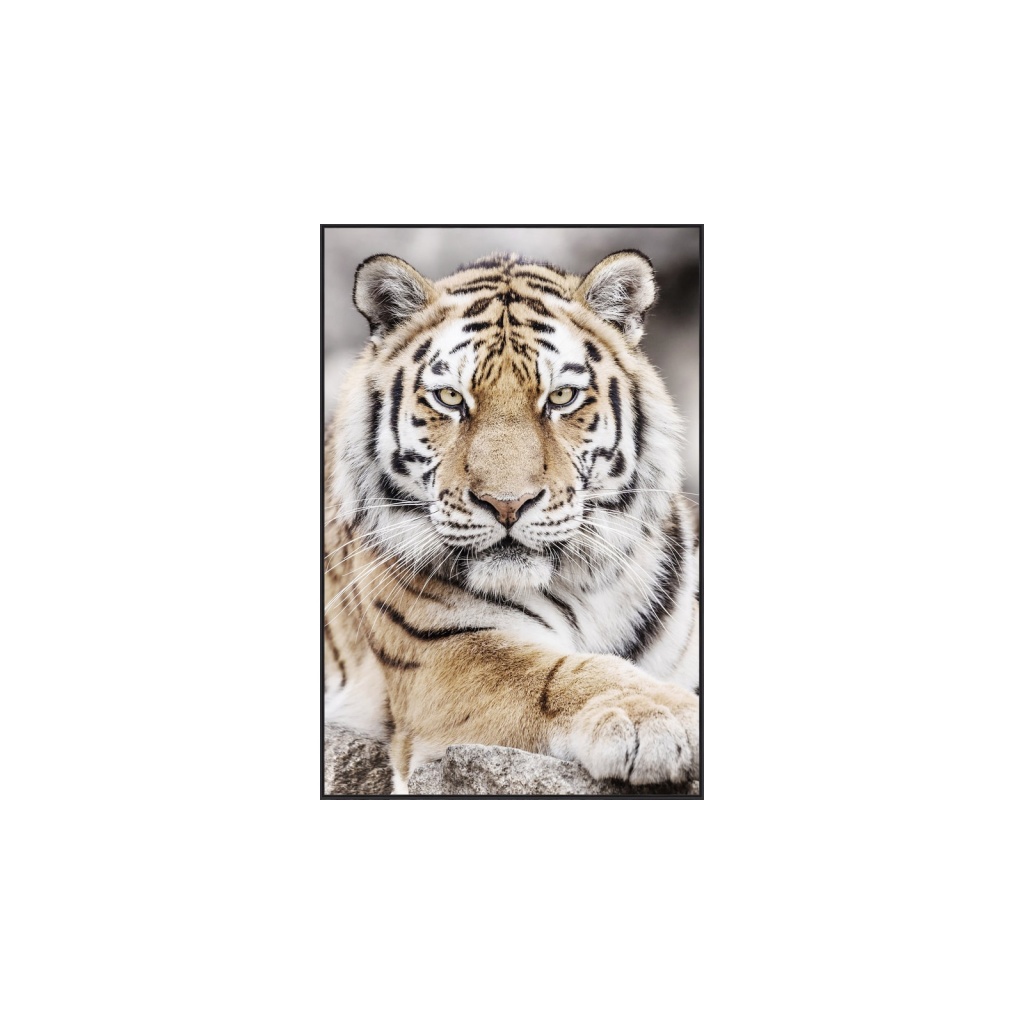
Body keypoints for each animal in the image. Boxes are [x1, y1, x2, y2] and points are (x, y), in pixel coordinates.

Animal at [323, 250, 700, 794]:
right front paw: (657, 717)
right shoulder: (446, 655)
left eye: (561, 397)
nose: (506, 504)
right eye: (450, 399)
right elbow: (559, 674)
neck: (586, 584)